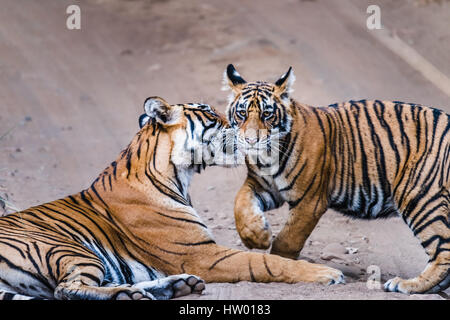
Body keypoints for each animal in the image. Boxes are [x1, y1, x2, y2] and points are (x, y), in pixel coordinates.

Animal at [0, 95, 344, 300]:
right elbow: (266, 261)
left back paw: (177, 285)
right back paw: (132, 294)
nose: (241, 127)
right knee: (67, 289)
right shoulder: (203, 254)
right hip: (66, 248)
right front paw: (327, 273)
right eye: (209, 113)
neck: (178, 175)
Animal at [224, 63, 450, 294]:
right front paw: (256, 235)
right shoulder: (262, 185)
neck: (268, 157)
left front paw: (281, 262)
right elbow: (240, 203)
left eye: (267, 114)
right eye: (242, 113)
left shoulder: (310, 201)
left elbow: (288, 239)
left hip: (421, 198)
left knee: (443, 251)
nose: (251, 141)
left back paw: (405, 284)